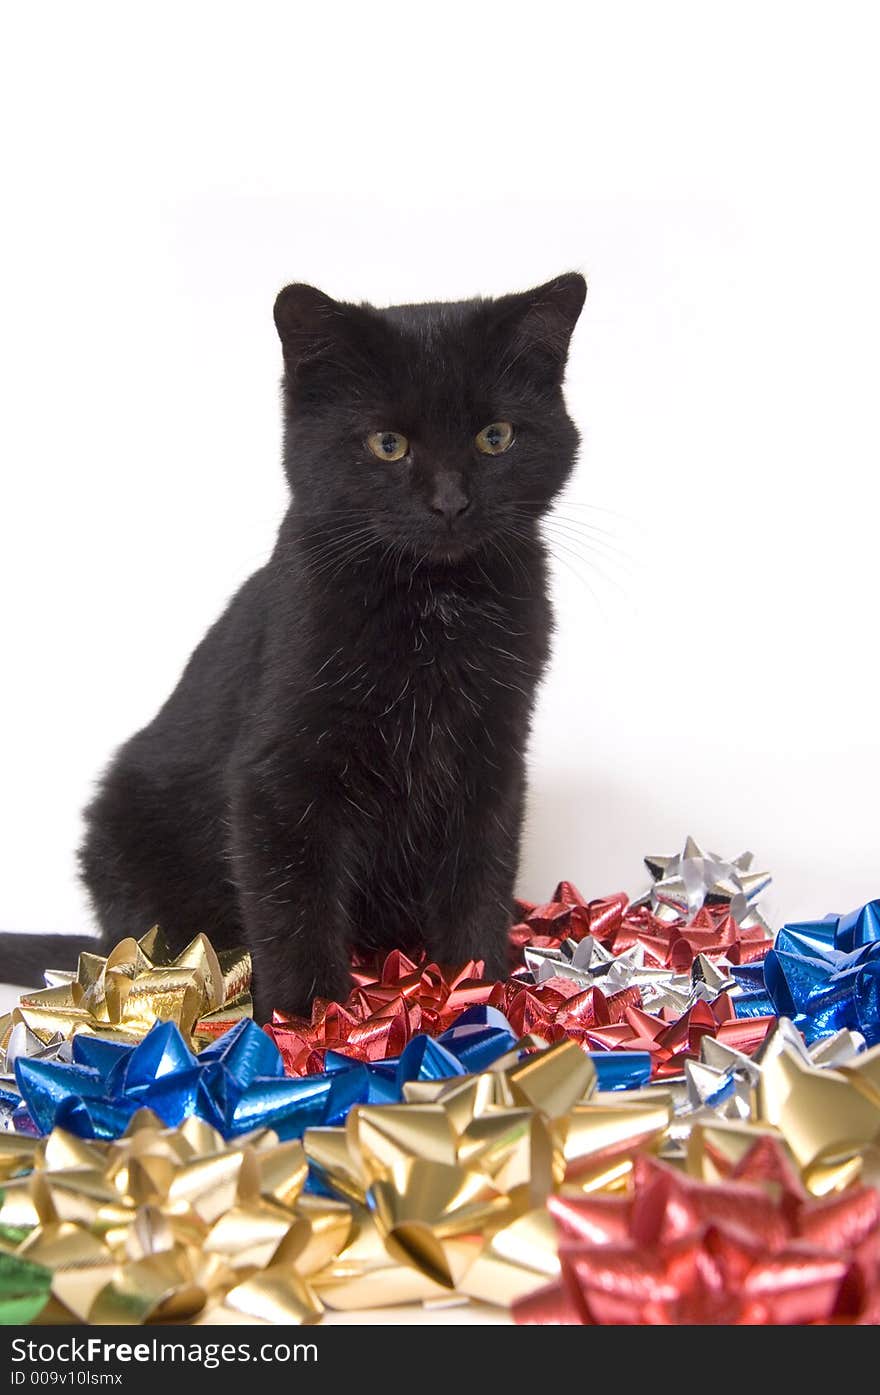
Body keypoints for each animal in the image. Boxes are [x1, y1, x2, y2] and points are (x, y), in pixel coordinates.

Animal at [5, 272, 591, 1021]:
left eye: (496, 437)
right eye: (387, 444)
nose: (451, 503)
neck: (433, 607)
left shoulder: (491, 752)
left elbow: (479, 872)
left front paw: (481, 988)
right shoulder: (278, 777)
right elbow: (294, 901)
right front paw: (307, 1019)